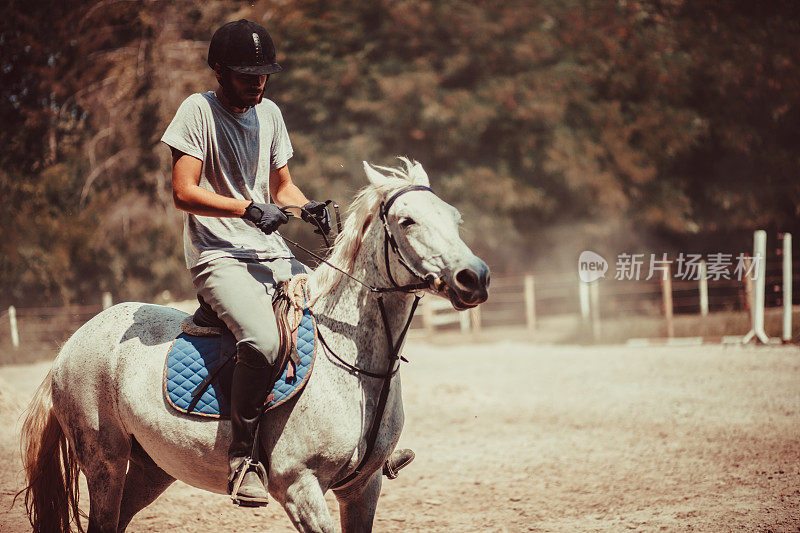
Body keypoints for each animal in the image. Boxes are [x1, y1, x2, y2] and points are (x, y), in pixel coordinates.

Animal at [18, 159, 490, 532]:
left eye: (454, 218)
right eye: (407, 221)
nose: (475, 277)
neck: (355, 367)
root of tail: (72, 342)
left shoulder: (362, 488)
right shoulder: (300, 489)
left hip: (151, 470)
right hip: (105, 463)